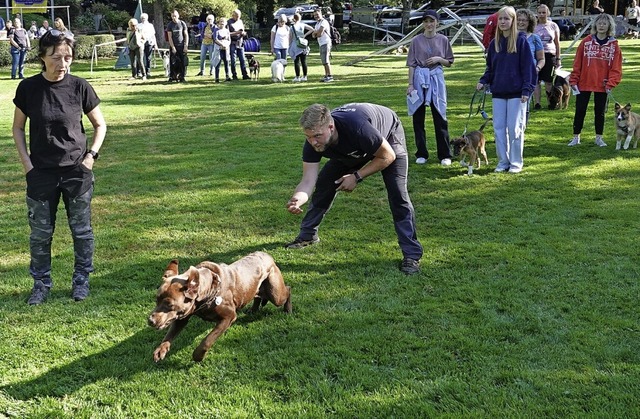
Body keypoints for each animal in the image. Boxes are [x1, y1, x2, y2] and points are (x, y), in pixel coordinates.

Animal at [149, 251, 292, 362]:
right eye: (156, 300)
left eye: (170, 305)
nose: (150, 320)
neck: (208, 292)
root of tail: (267, 255)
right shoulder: (183, 317)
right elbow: (169, 335)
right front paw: (160, 350)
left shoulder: (228, 317)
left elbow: (207, 340)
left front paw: (198, 356)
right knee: (257, 296)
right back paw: (253, 309)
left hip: (275, 294)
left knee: (288, 289)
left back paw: (288, 309)